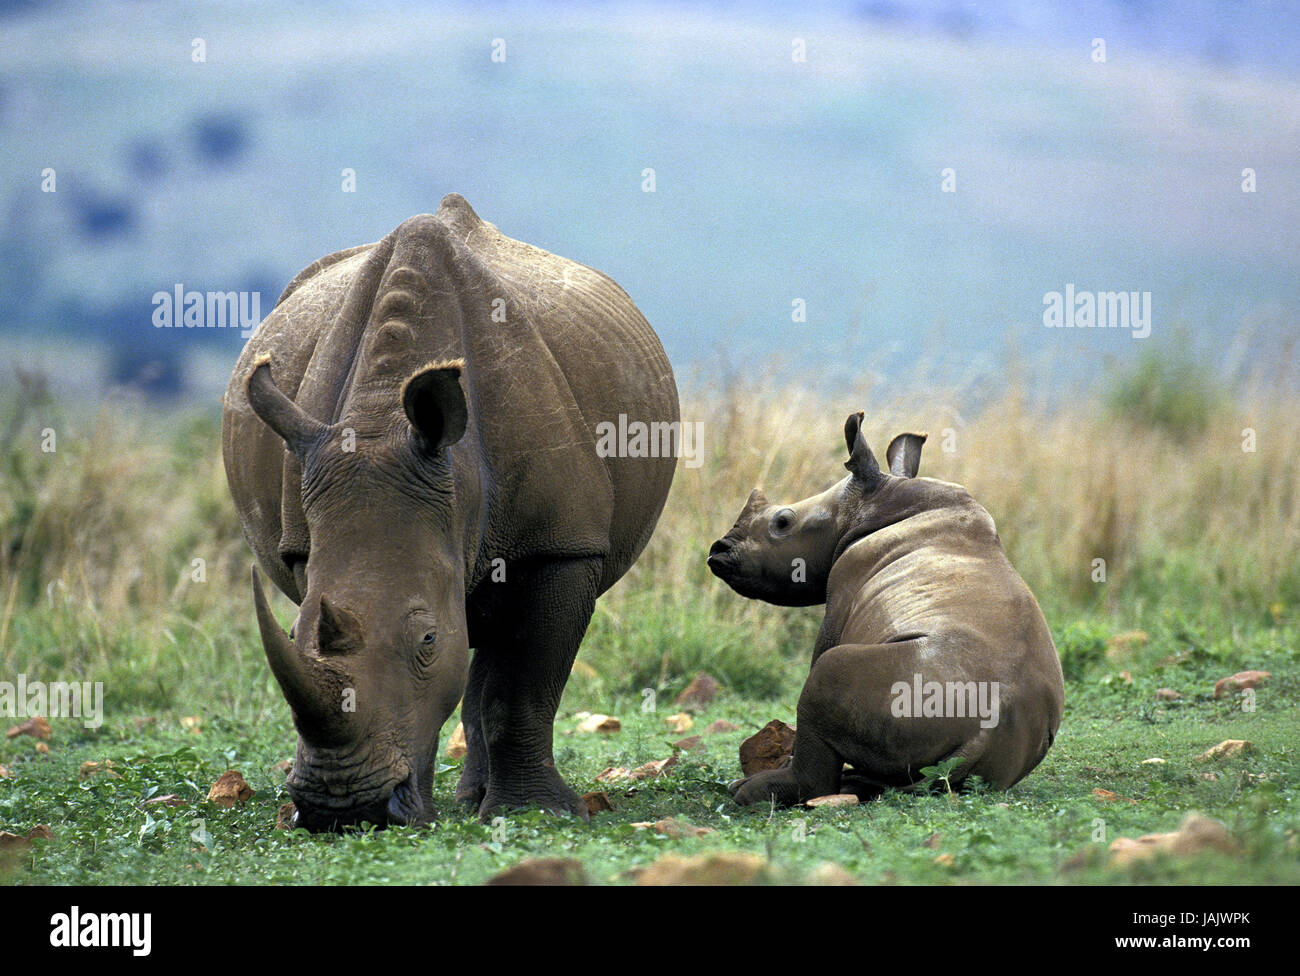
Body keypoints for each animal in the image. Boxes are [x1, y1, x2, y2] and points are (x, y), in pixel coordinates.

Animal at [222, 194, 679, 830]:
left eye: (427, 641)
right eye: (290, 633)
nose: (344, 808)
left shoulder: (561, 544)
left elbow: (522, 687)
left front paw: (536, 814)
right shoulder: (306, 541)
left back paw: (479, 801)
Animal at [707, 412, 1064, 804]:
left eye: (783, 522)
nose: (718, 550)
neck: (872, 504)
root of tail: (984, 732)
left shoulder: (842, 590)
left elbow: (821, 652)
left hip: (908, 686)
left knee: (829, 671)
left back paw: (747, 792)